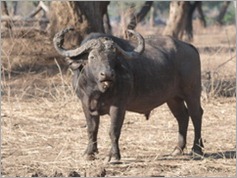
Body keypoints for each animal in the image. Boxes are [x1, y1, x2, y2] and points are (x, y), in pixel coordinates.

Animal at [53, 27, 204, 162]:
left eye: (113, 57)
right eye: (92, 56)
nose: (107, 74)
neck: (98, 90)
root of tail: (190, 47)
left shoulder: (118, 106)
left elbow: (113, 130)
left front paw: (113, 156)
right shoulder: (86, 105)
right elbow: (92, 129)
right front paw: (89, 153)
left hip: (192, 93)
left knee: (196, 115)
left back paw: (197, 149)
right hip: (173, 98)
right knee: (182, 116)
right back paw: (177, 149)